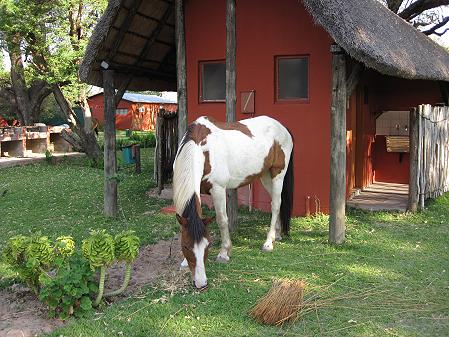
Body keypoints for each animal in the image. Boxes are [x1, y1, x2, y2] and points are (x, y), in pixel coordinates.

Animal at [172, 115, 294, 288]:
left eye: (208, 245)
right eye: (185, 246)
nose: (201, 283)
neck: (202, 149)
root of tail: (282, 127)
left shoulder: (218, 189)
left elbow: (222, 220)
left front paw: (224, 253)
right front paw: (183, 261)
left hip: (278, 173)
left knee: (276, 205)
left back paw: (268, 243)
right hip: (265, 176)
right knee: (278, 202)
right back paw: (276, 234)